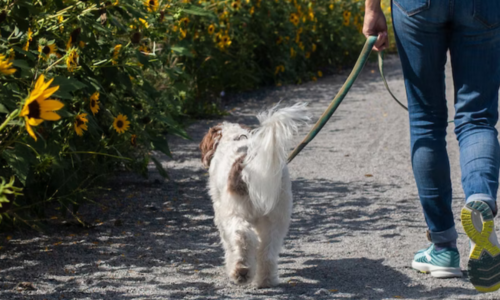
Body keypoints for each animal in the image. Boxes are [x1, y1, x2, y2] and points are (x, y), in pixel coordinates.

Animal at [199, 103, 308, 288]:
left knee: (243, 237)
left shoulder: (221, 213)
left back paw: (241, 271)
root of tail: (248, 164)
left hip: (235, 213)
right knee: (268, 250)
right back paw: (266, 280)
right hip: (277, 217)